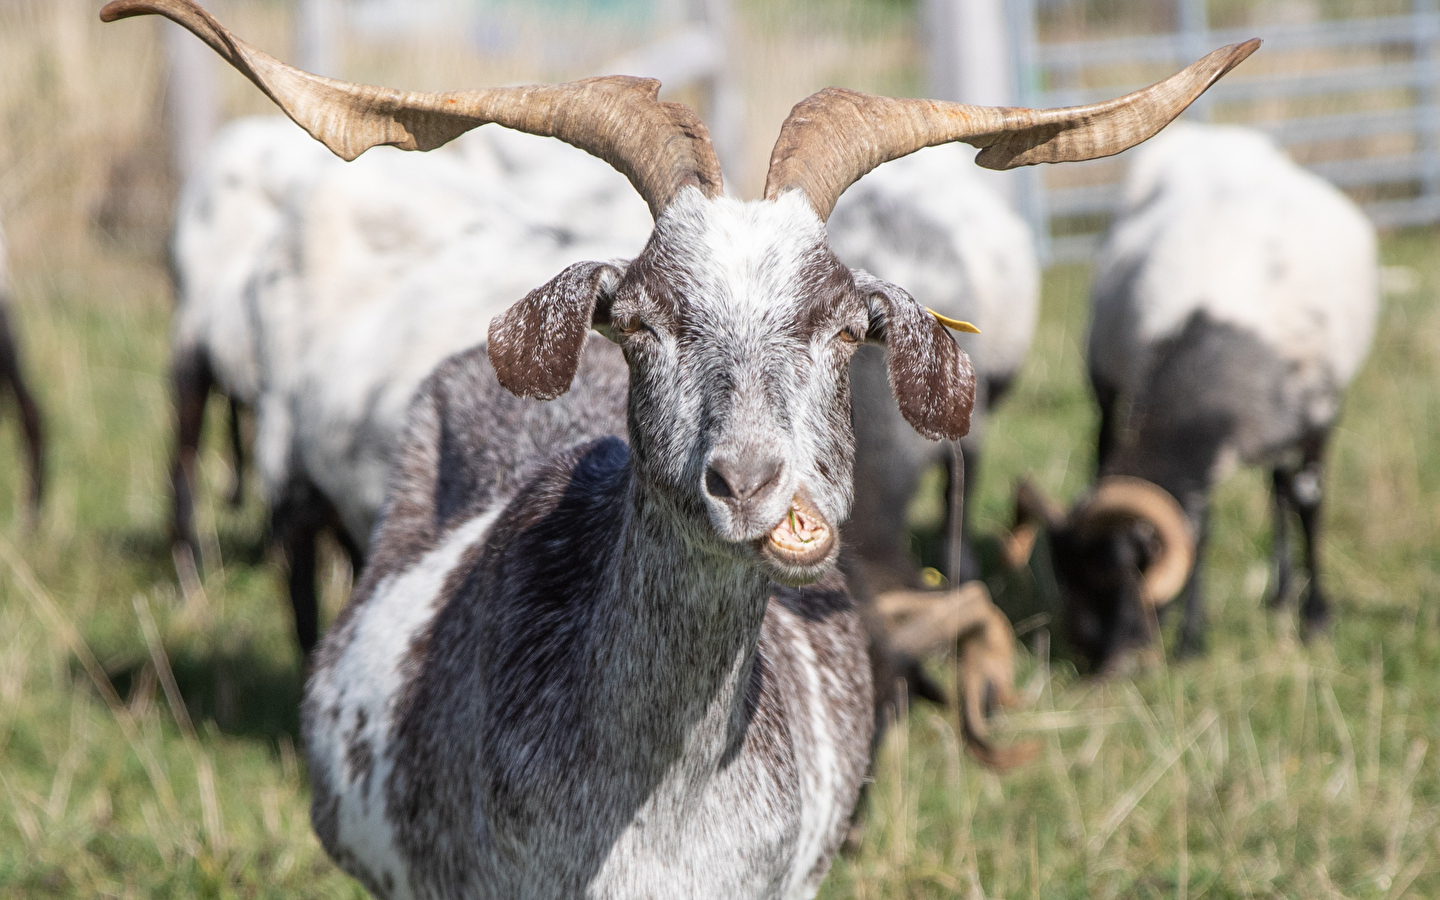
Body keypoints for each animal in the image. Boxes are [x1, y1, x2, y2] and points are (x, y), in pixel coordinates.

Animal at [1002, 124, 1370, 673]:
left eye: (1125, 568)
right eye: (1066, 578)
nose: (1106, 665)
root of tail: (1220, 137)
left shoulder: (1318, 418)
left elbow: (1309, 505)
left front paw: (1317, 619)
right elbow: (1201, 527)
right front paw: (1192, 643)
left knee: (1284, 490)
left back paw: (1285, 597)